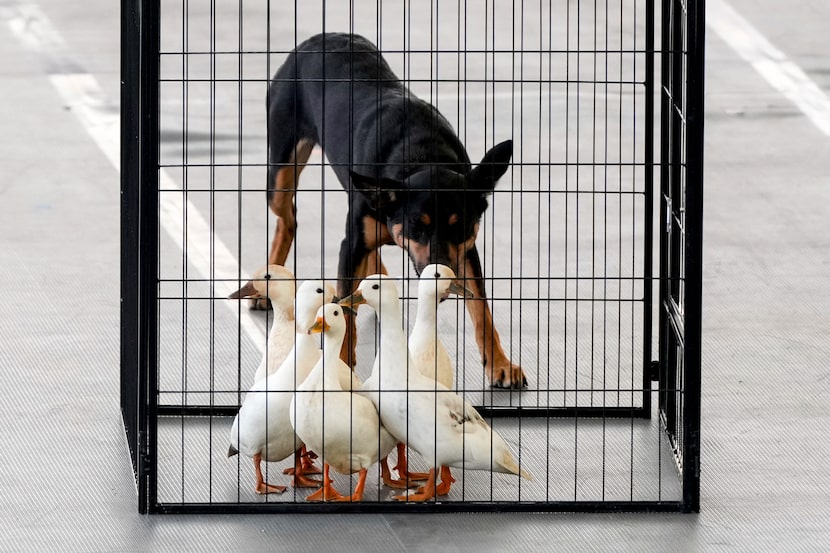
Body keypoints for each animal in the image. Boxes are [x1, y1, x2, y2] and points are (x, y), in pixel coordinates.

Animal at [264, 33, 528, 388]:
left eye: (459, 226)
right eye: (417, 225)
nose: (441, 277)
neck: (421, 155)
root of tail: (321, 37)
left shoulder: (466, 252)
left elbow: (481, 308)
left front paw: (500, 364)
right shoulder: (352, 243)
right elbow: (344, 306)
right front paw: (342, 365)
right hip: (281, 171)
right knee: (287, 217)